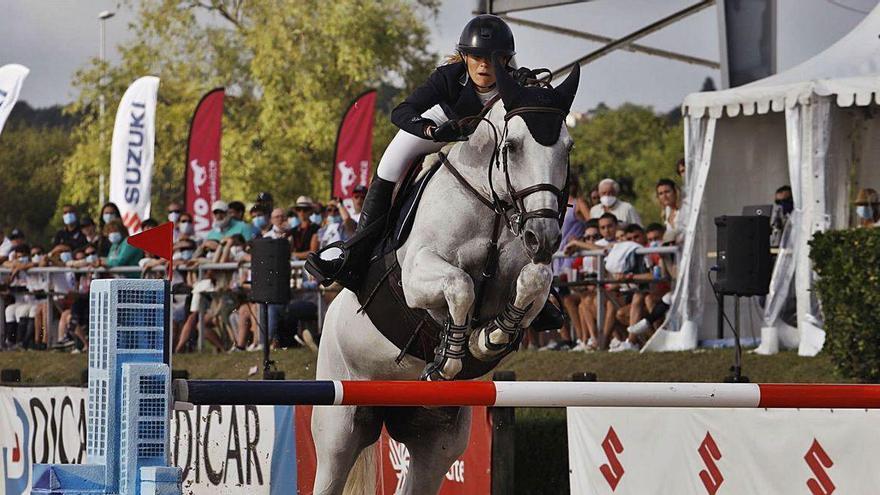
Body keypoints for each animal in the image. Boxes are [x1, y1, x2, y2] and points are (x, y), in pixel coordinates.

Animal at [310, 65, 576, 495]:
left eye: (566, 149)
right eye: (513, 146)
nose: (545, 237)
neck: (491, 202)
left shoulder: (530, 275)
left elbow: (534, 279)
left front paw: (490, 337)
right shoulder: (417, 274)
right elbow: (460, 284)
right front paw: (450, 358)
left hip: (437, 438)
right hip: (341, 425)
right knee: (332, 463)